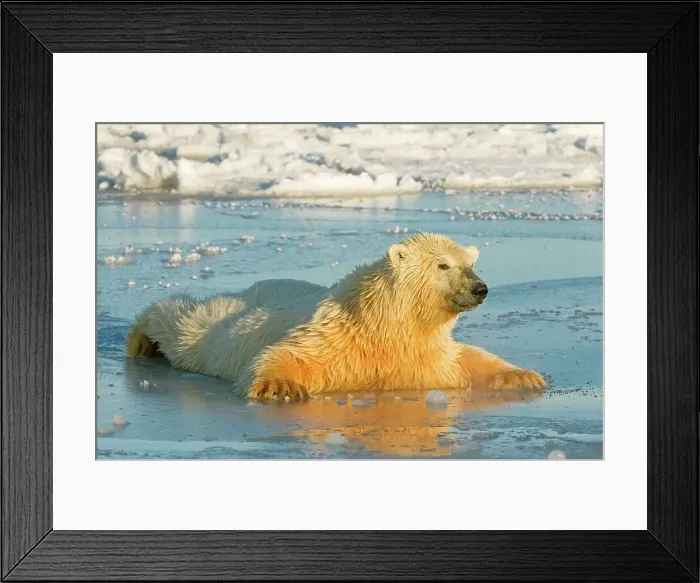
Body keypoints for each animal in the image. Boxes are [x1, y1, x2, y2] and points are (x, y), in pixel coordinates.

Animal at [126, 232, 546, 399]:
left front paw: (523, 376)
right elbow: (293, 353)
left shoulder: (425, 356)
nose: (480, 288)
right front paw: (281, 387)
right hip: (224, 322)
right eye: (442, 265)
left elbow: (467, 361)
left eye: (470, 264)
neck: (387, 325)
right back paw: (141, 339)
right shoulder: (339, 335)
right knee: (185, 325)